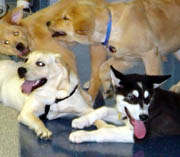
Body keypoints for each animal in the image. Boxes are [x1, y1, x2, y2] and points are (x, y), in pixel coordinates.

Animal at [47, 0, 180, 96]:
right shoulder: (127, 59)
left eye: (65, 18)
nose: (47, 23)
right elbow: (103, 69)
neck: (111, 27)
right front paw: (107, 88)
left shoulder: (150, 54)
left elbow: (152, 76)